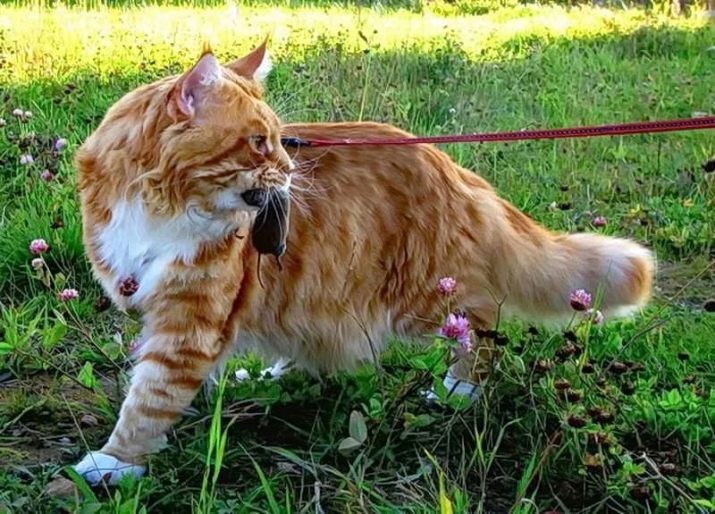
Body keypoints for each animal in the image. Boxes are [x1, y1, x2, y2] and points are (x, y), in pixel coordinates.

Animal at [72, 42, 654, 485]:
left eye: (279, 140)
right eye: (259, 143)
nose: (290, 168)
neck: (161, 204)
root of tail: (454, 169)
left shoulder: (188, 319)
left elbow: (149, 397)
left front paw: (115, 461)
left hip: (424, 295)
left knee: (482, 321)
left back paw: (459, 389)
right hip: (316, 294)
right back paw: (273, 372)